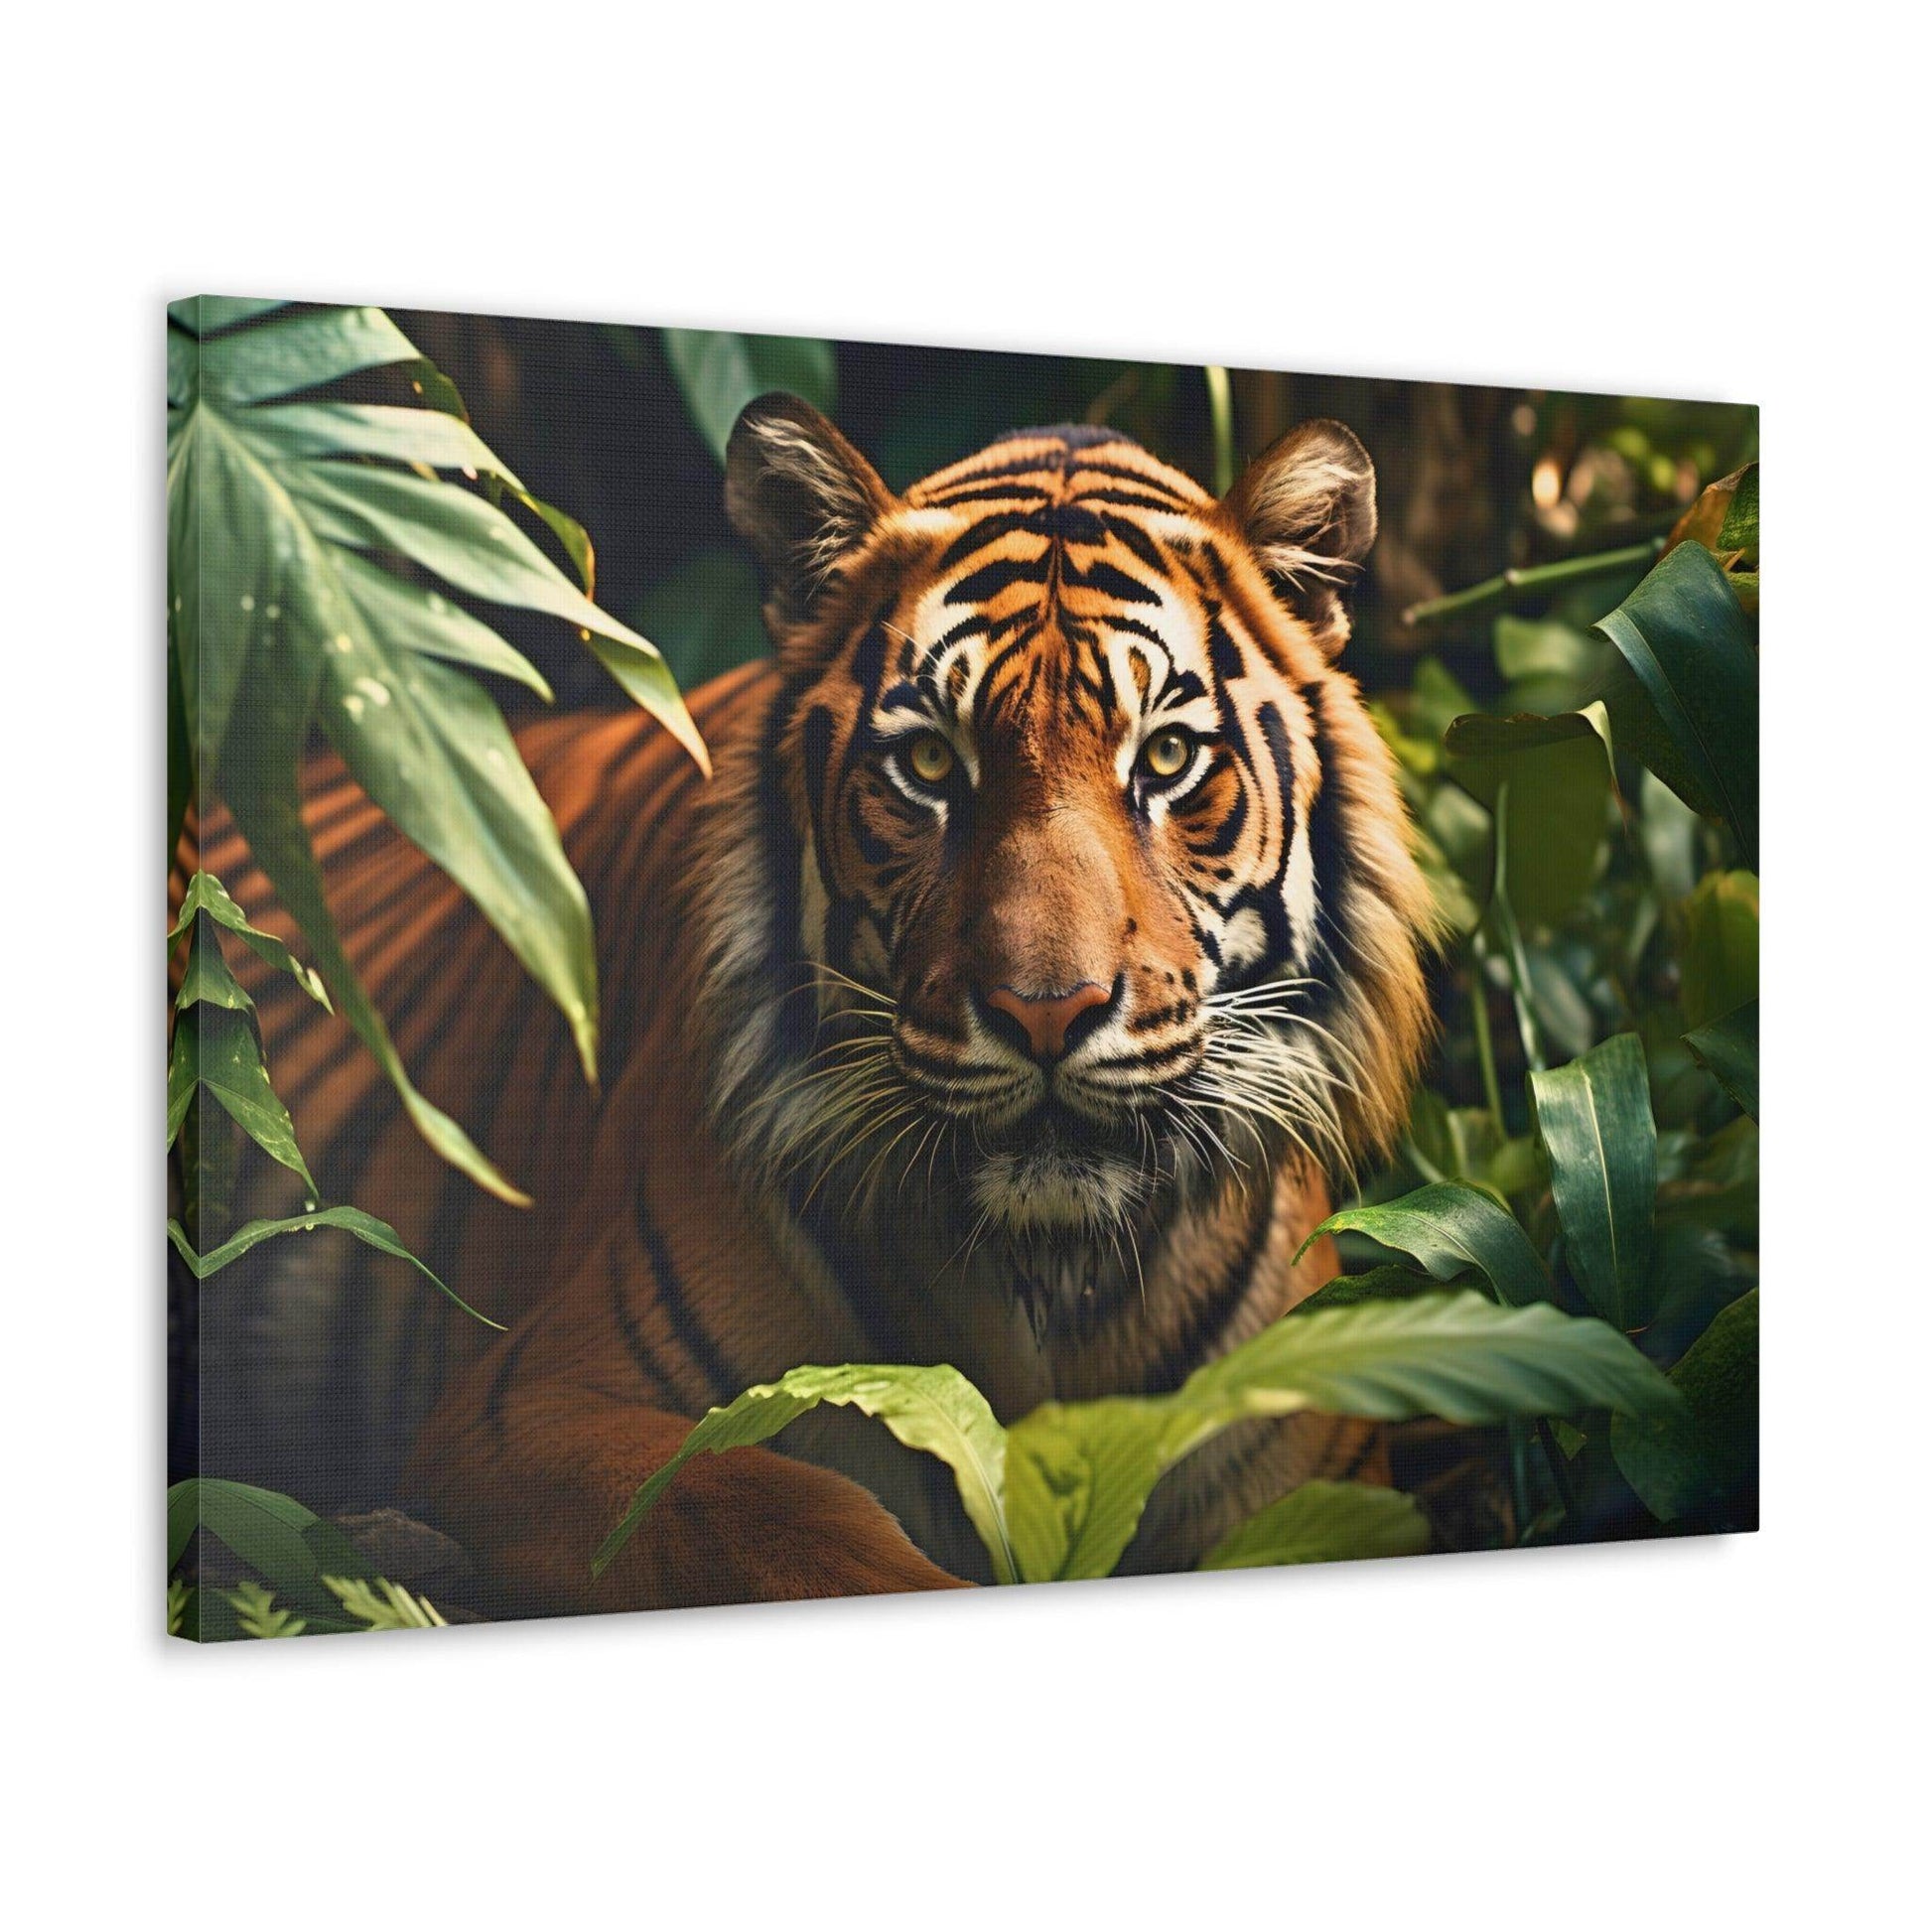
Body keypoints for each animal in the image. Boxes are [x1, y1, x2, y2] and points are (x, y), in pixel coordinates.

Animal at [184, 396, 1440, 1614]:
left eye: (1168, 757)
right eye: (928, 767)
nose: (1044, 1011)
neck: (1045, 1281)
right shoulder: (524, 1404)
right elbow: (758, 1501)